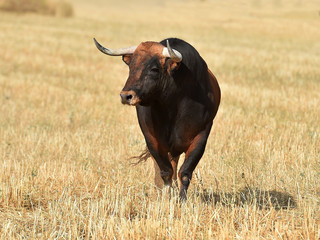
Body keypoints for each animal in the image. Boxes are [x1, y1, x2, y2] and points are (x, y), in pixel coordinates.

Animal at [94, 37, 221, 199]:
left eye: (154, 69)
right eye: (131, 66)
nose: (126, 96)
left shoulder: (200, 138)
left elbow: (185, 173)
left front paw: (182, 200)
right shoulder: (153, 140)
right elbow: (165, 172)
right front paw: (167, 196)